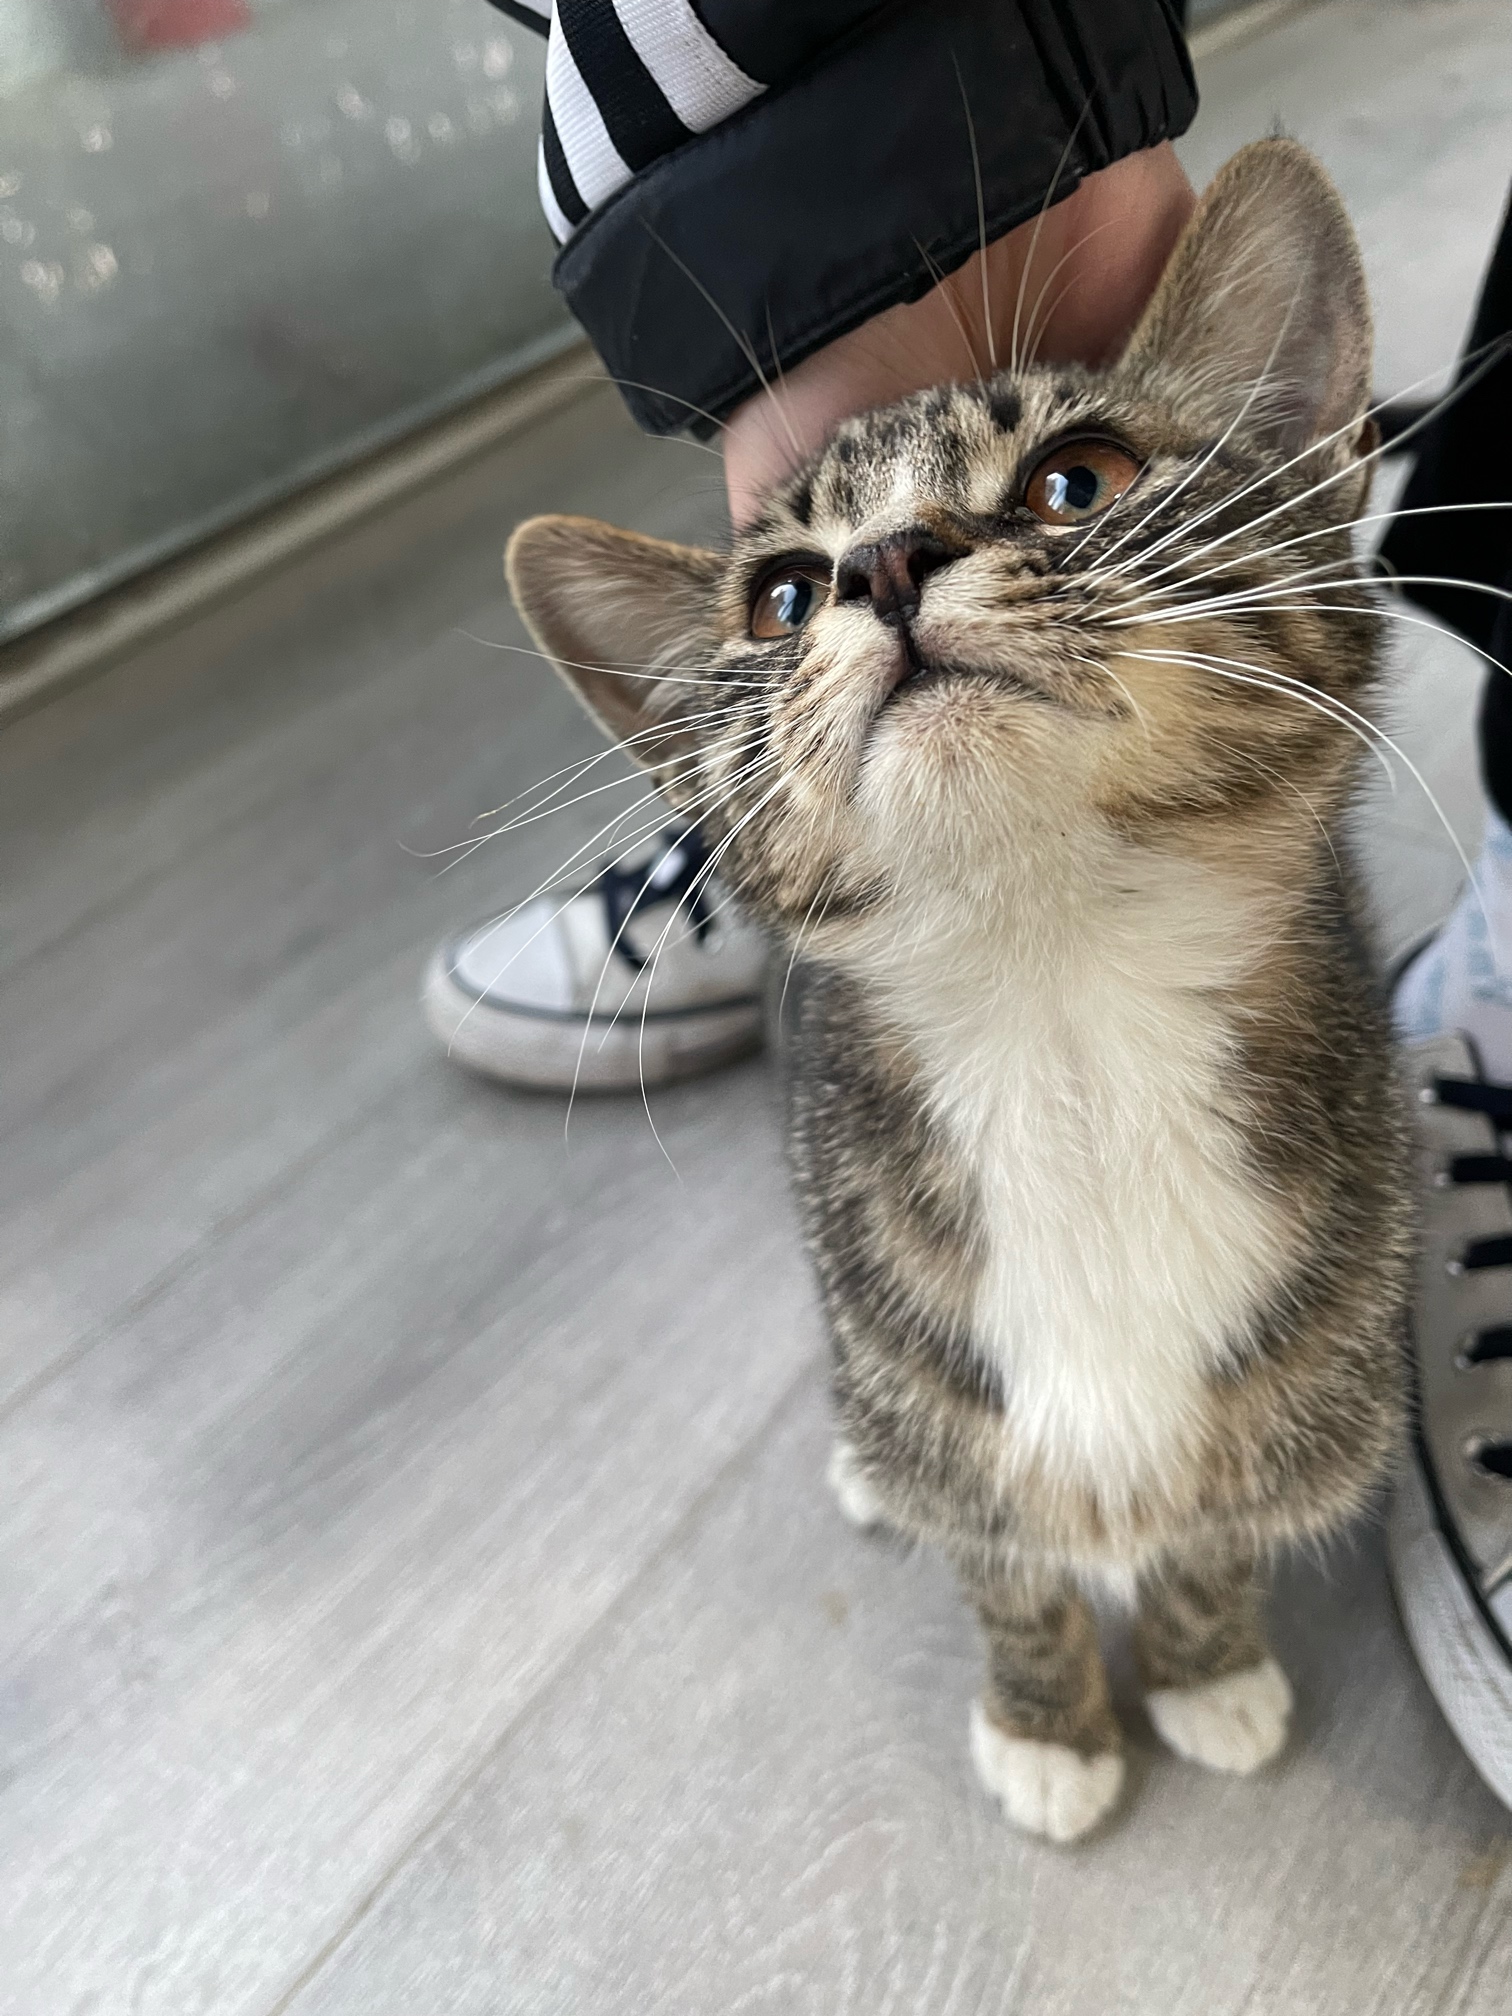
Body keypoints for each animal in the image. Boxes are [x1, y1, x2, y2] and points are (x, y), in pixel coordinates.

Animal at [503, 139, 1413, 1843]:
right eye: (783, 600)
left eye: (1079, 479)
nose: (883, 560)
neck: (1067, 1013)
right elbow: (1006, 1560)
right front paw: (1049, 1722)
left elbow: (1212, 1533)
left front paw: (1204, 1663)